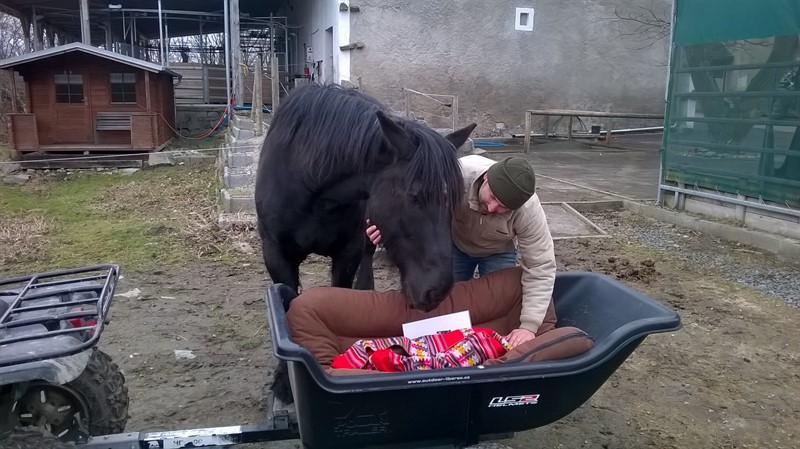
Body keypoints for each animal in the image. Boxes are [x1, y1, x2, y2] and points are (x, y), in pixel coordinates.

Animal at [253, 82, 472, 400]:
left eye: (453, 200)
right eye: (415, 197)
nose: (438, 291)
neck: (311, 181)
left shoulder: (348, 252)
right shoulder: (276, 253)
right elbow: (286, 307)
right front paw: (284, 381)